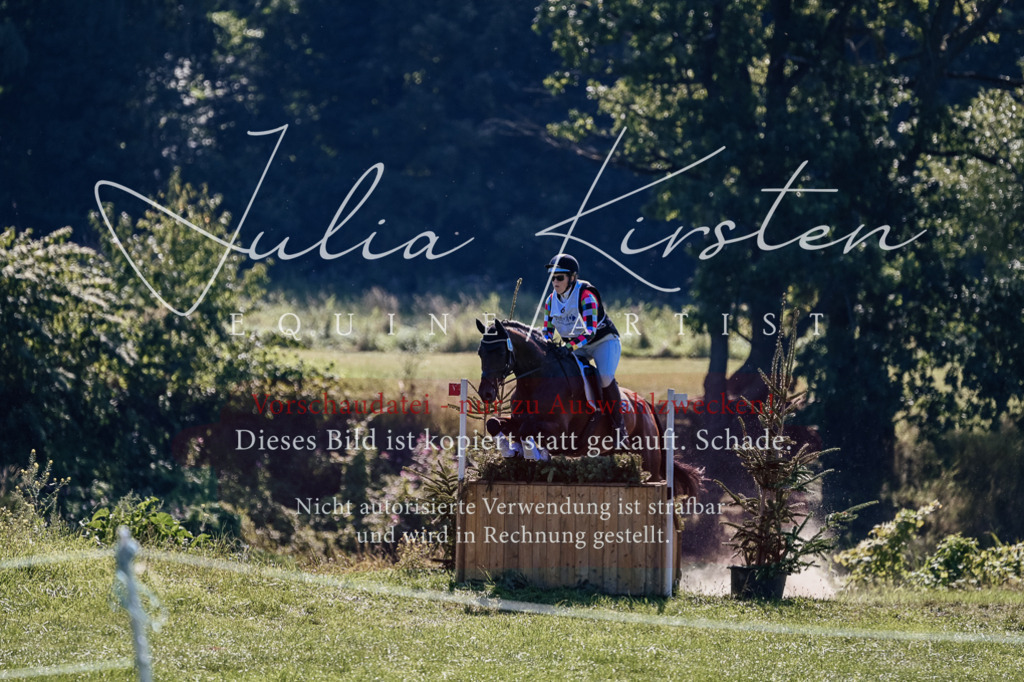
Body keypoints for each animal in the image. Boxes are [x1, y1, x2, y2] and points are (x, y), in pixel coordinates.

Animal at [475, 319, 702, 498]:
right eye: (480, 353)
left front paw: (531, 453)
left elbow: (525, 432)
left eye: (499, 351)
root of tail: (644, 403)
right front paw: (512, 450)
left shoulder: (559, 433)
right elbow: (495, 423)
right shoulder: (518, 420)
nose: (486, 393)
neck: (537, 380)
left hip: (649, 460)